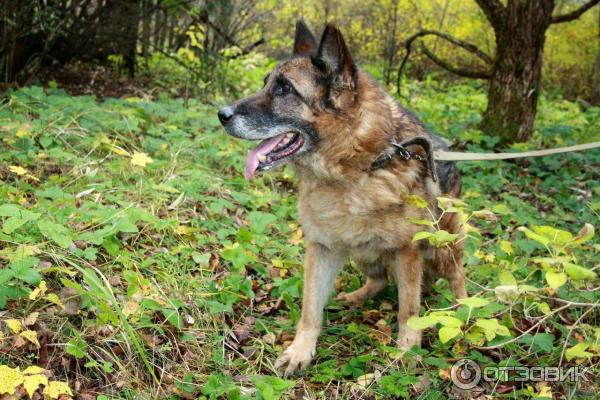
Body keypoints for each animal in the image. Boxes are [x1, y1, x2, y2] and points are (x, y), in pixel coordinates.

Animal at [218, 19, 466, 376]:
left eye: (284, 89)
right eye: (266, 84)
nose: (221, 114)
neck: (358, 167)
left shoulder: (408, 253)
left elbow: (408, 310)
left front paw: (407, 350)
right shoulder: (321, 248)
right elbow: (310, 308)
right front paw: (300, 350)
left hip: (440, 246)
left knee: (457, 275)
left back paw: (464, 312)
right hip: (363, 251)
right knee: (379, 280)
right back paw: (355, 296)